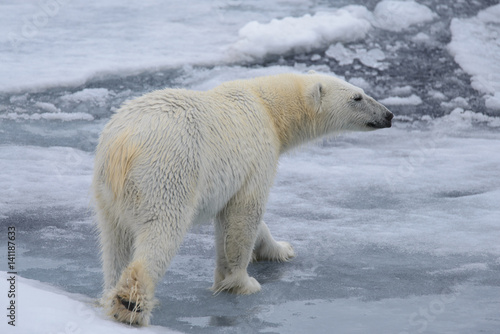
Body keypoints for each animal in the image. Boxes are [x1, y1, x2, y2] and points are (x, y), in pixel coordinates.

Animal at [92, 72, 392, 324]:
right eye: (357, 97)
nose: (389, 115)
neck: (268, 107)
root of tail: (122, 145)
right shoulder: (257, 156)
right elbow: (244, 215)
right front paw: (242, 283)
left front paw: (279, 248)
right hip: (167, 173)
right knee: (161, 231)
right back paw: (130, 305)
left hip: (107, 192)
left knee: (115, 241)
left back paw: (109, 294)